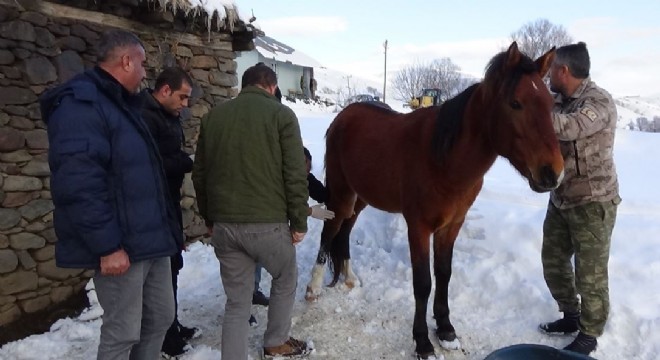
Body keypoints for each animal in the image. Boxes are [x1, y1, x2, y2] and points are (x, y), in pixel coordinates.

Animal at [306, 43, 564, 360]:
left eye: (551, 105)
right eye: (516, 103)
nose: (553, 172)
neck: (443, 159)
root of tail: (344, 115)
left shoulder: (451, 225)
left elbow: (443, 274)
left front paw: (445, 329)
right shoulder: (418, 227)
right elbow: (423, 283)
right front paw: (422, 341)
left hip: (361, 197)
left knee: (345, 231)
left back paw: (350, 278)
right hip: (342, 193)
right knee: (330, 230)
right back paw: (314, 286)